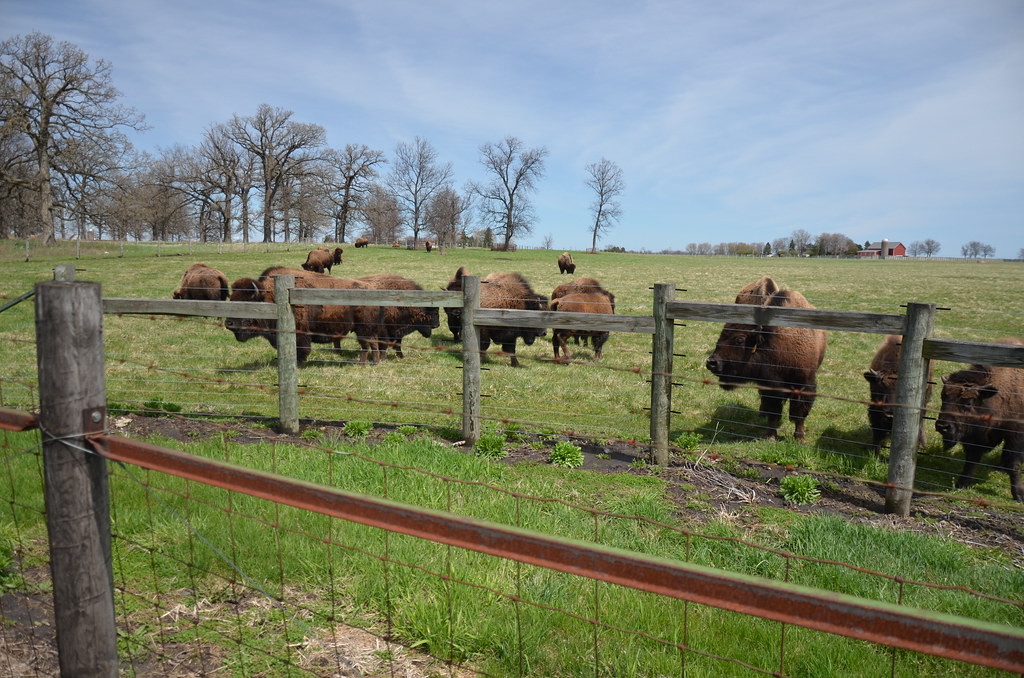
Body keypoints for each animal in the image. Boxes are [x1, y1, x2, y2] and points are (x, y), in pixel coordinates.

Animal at [225, 266, 383, 364]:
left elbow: (302, 350)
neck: (269, 297)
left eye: (246, 303)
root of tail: (372, 289)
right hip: (366, 330)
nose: (229, 323)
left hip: (363, 330)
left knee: (367, 345)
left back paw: (365, 363)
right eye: (231, 300)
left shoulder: (300, 334)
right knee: (371, 344)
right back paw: (373, 363)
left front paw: (299, 364)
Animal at [705, 276, 828, 442]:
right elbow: (773, 411)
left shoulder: (805, 384)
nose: (712, 362)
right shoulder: (769, 385)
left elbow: (799, 413)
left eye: (739, 340)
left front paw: (800, 438)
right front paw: (770, 436)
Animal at [935, 338, 1024, 502]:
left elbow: (1014, 463)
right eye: (943, 397)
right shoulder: (974, 439)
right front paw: (962, 484)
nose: (942, 426)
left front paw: (1019, 495)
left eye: (968, 402)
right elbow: (971, 460)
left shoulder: (1016, 436)